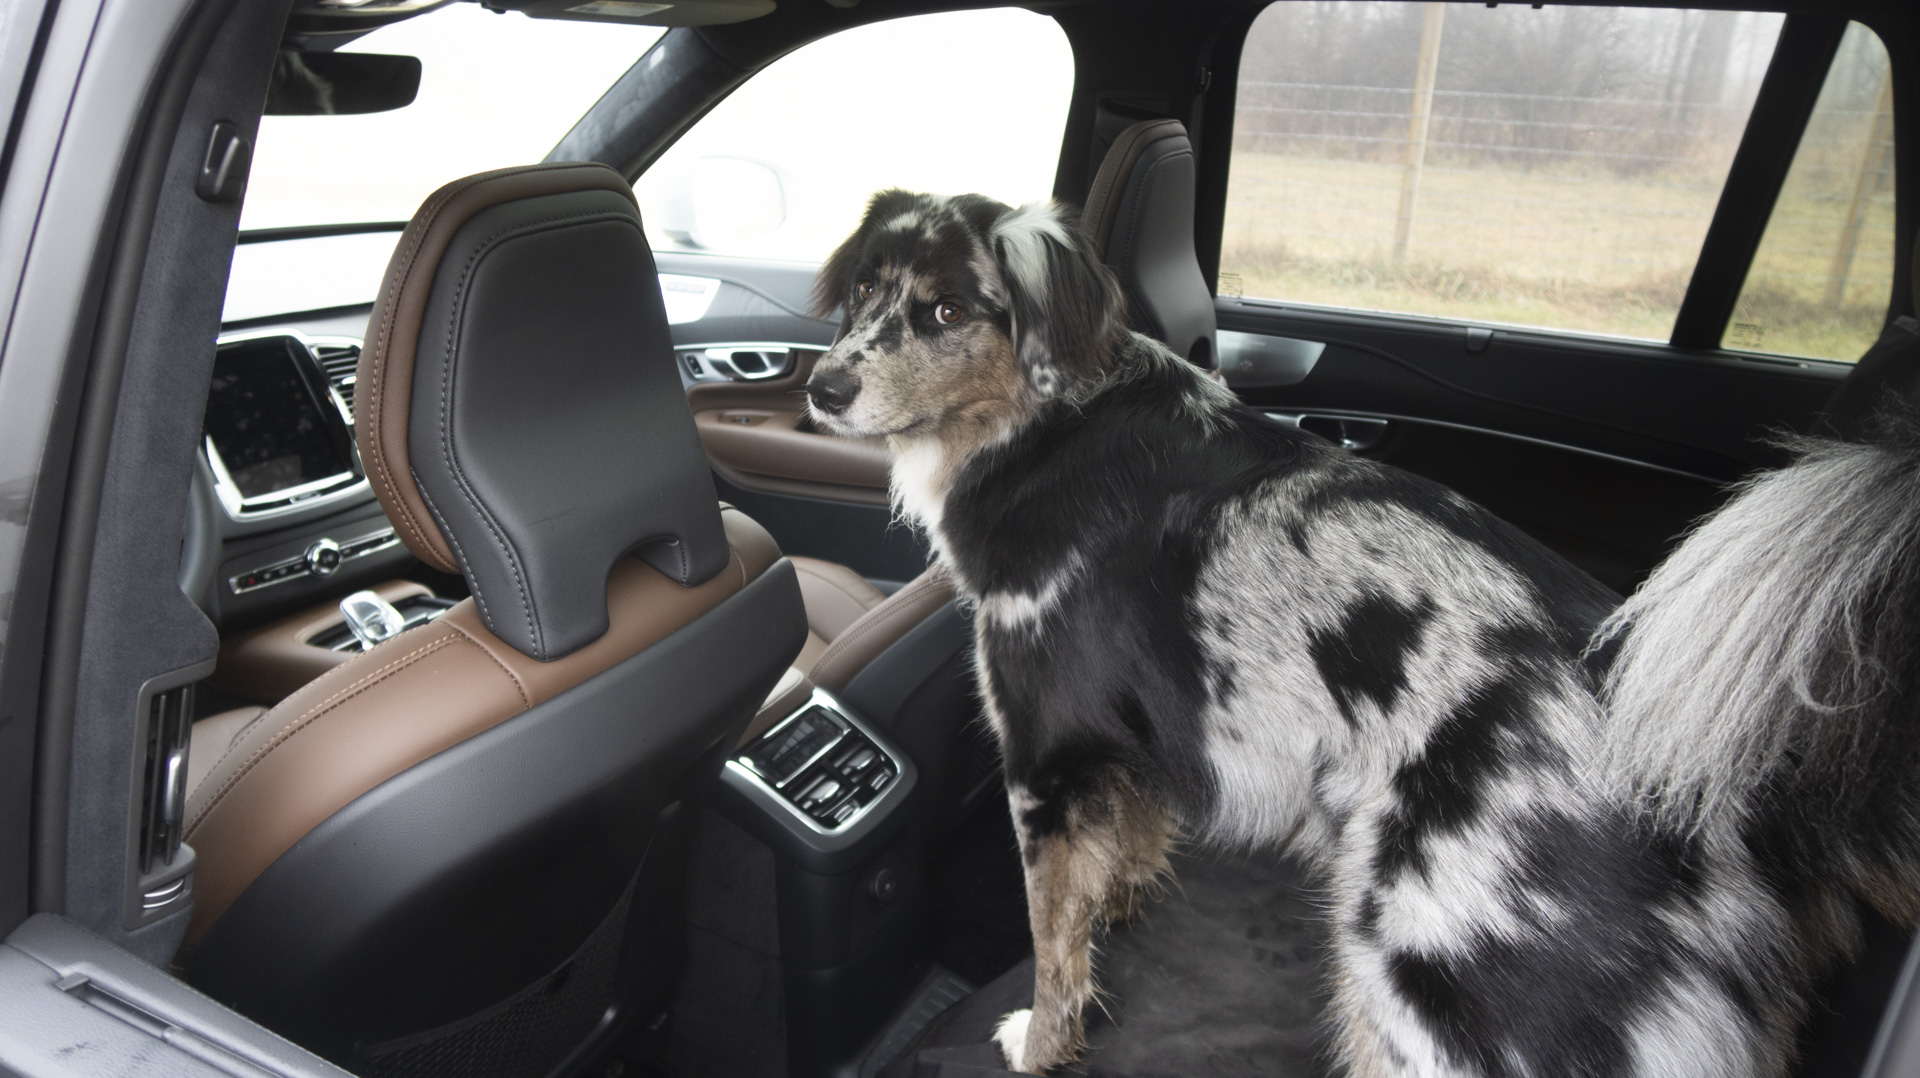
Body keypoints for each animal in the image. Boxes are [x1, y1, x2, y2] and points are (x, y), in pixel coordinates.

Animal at [803, 189, 1920, 1076]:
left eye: (949, 310)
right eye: (863, 296)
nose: (819, 387)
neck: (1045, 425)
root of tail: (1743, 814)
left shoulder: (1044, 761)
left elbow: (1051, 940)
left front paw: (1039, 1039)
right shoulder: (1139, 744)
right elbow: (1121, 857)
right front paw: (1121, 905)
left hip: (1434, 994)